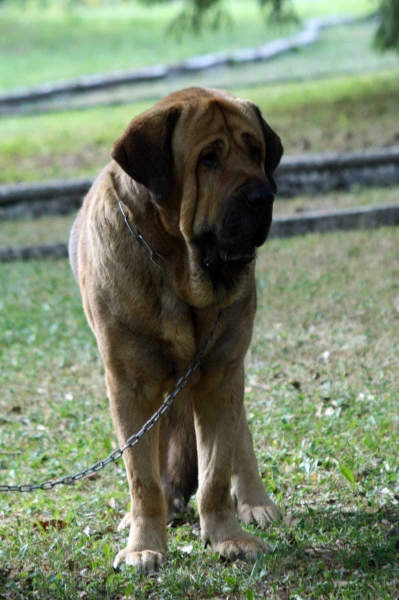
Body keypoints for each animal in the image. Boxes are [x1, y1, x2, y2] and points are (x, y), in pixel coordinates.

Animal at [70, 86, 286, 576]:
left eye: (255, 151)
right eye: (208, 159)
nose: (263, 195)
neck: (176, 268)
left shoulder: (223, 374)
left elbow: (216, 470)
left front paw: (228, 538)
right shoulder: (128, 385)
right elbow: (142, 476)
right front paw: (143, 545)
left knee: (238, 439)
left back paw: (255, 502)